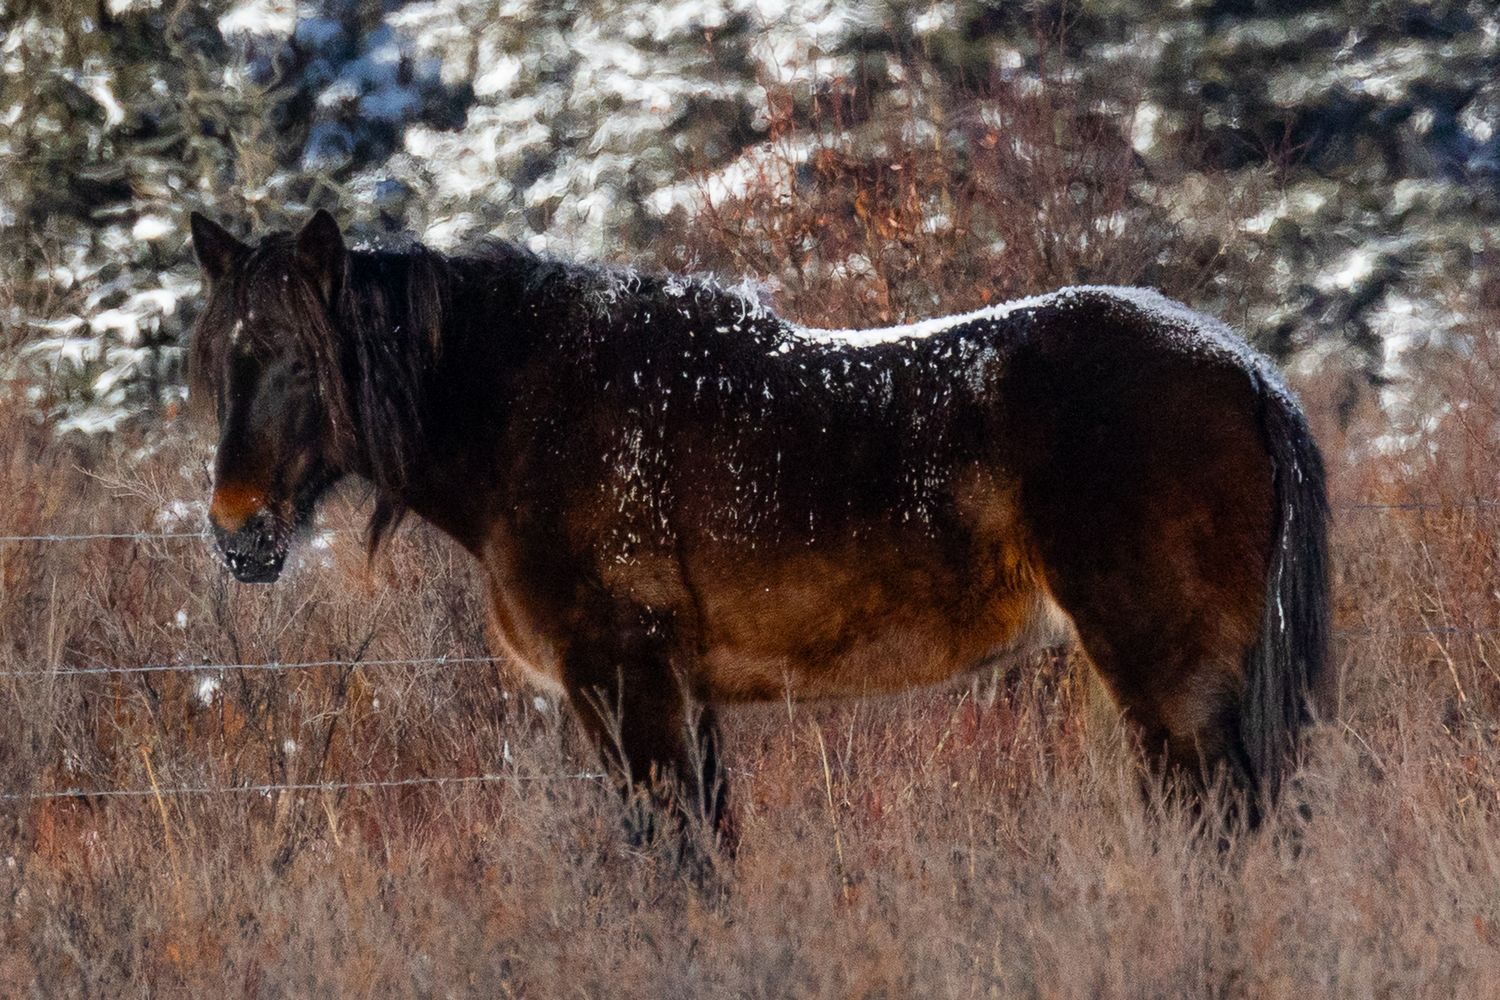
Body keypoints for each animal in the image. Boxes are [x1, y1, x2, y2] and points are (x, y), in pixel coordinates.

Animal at [186, 209, 1328, 849]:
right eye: (217, 361)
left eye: (304, 364)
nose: (237, 533)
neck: (535, 411)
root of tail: (1241, 368)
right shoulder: (684, 703)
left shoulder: (626, 688)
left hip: (1172, 684)